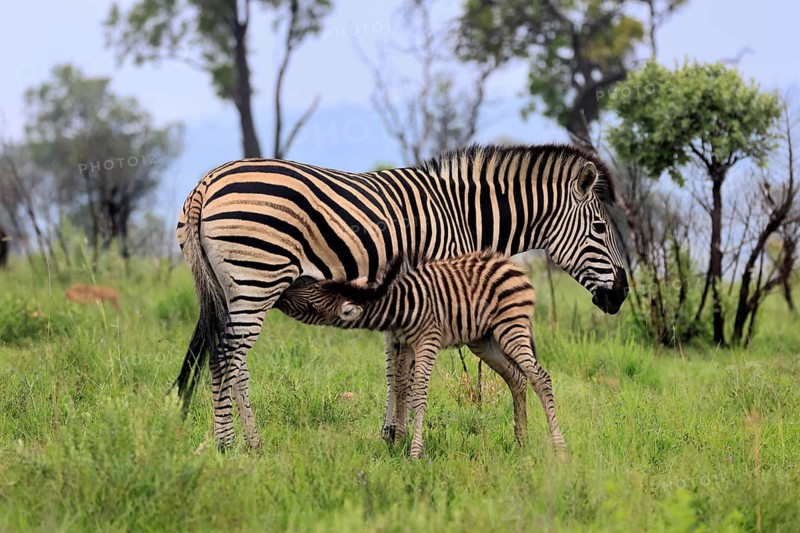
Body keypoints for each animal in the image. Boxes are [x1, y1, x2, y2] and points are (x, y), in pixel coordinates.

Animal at [275, 250, 564, 458]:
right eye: (316, 284)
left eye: (311, 304)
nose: (282, 293)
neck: (400, 304)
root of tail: (512, 265)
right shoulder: (406, 344)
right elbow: (401, 386)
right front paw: (398, 442)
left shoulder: (428, 341)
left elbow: (419, 393)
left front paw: (414, 452)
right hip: (485, 340)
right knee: (517, 377)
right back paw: (522, 441)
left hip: (511, 326)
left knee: (540, 378)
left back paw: (559, 447)